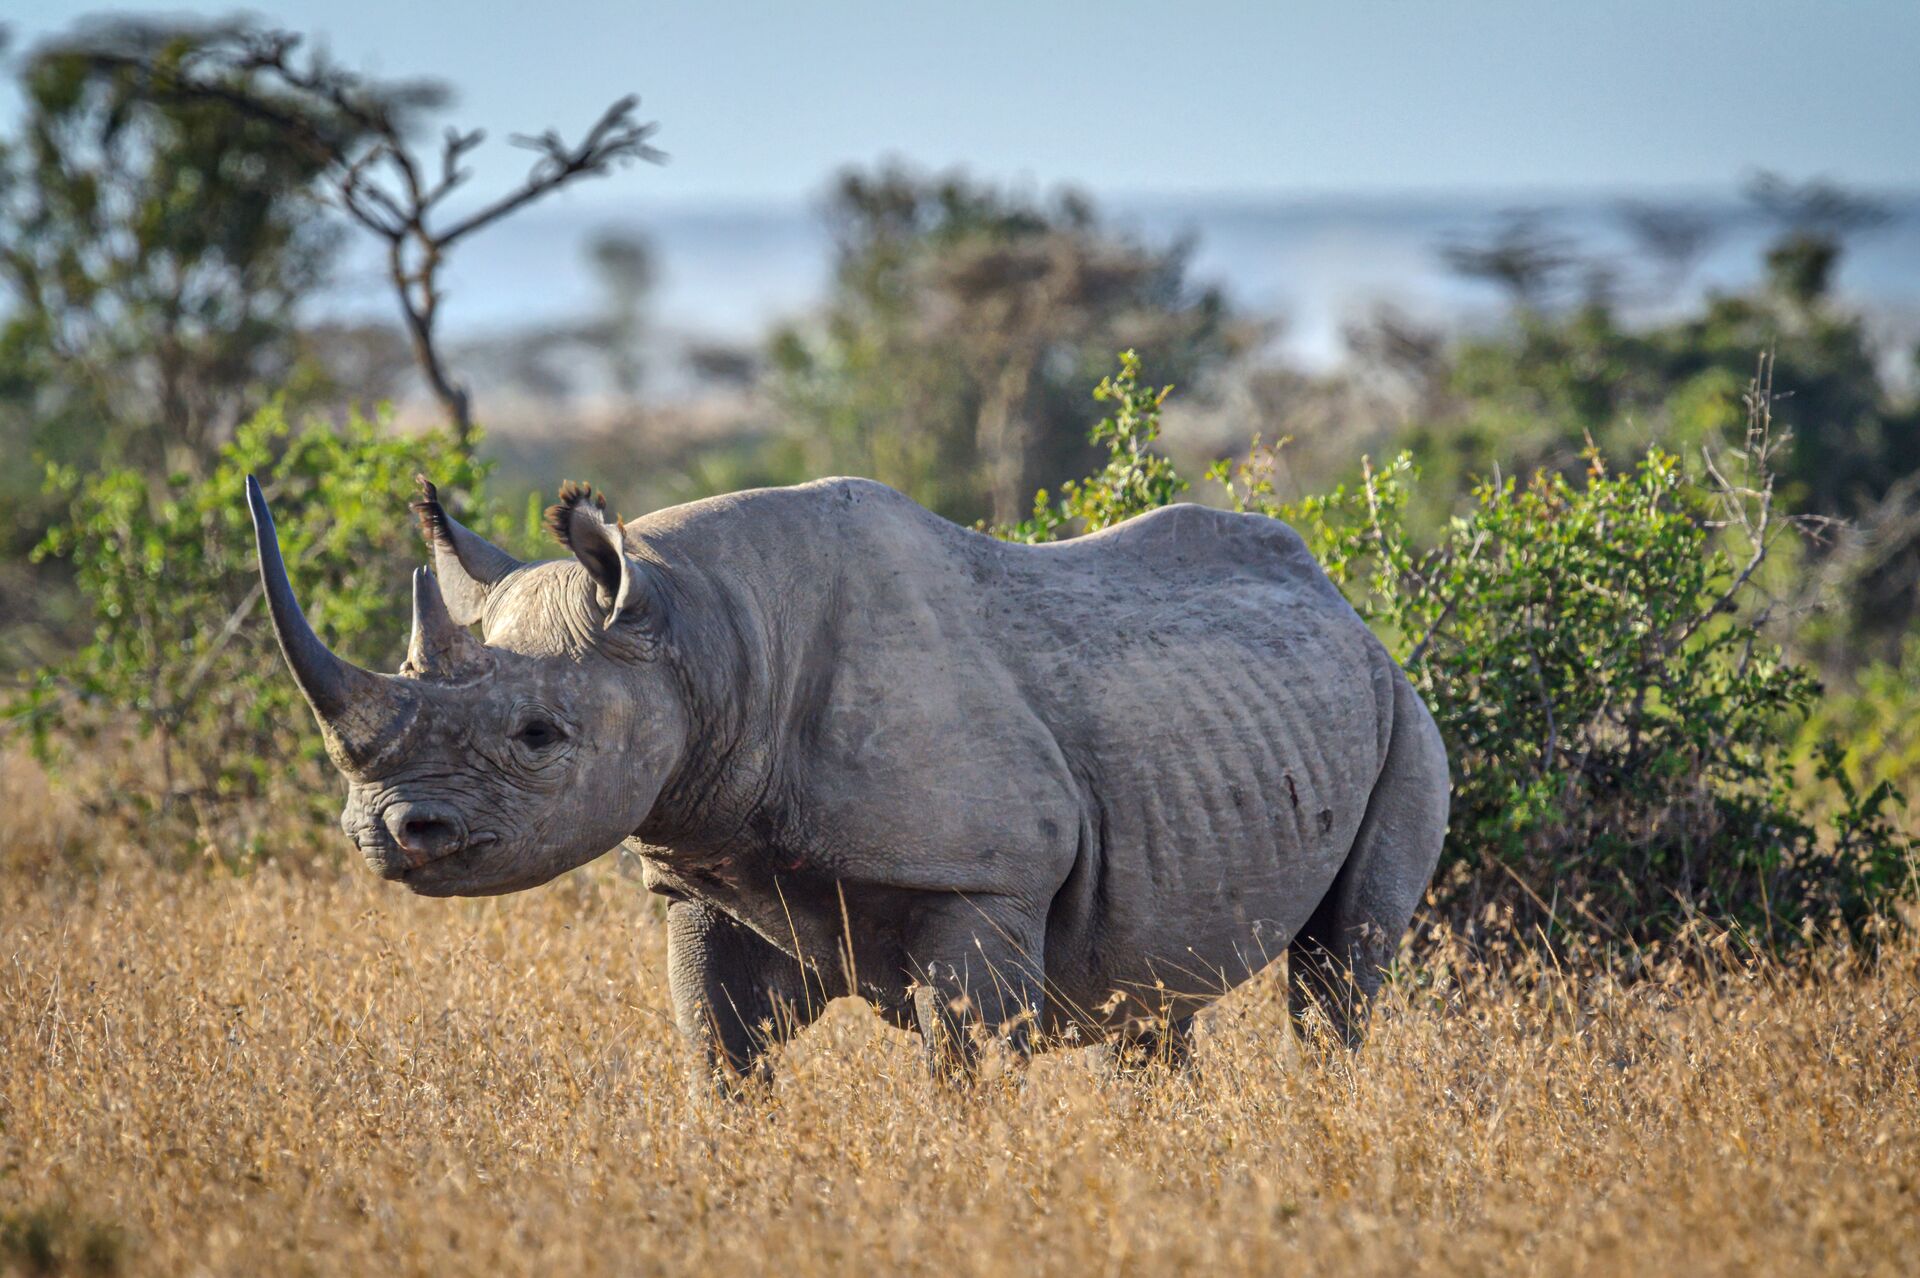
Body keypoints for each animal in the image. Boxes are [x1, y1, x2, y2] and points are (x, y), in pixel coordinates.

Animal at [245, 472, 1448, 1078]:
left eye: (540, 737)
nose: (390, 833)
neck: (702, 630)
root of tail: (1347, 606)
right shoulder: (706, 869)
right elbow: (718, 1049)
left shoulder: (983, 879)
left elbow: (968, 1060)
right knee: (1156, 996)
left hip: (1405, 713)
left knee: (1342, 967)